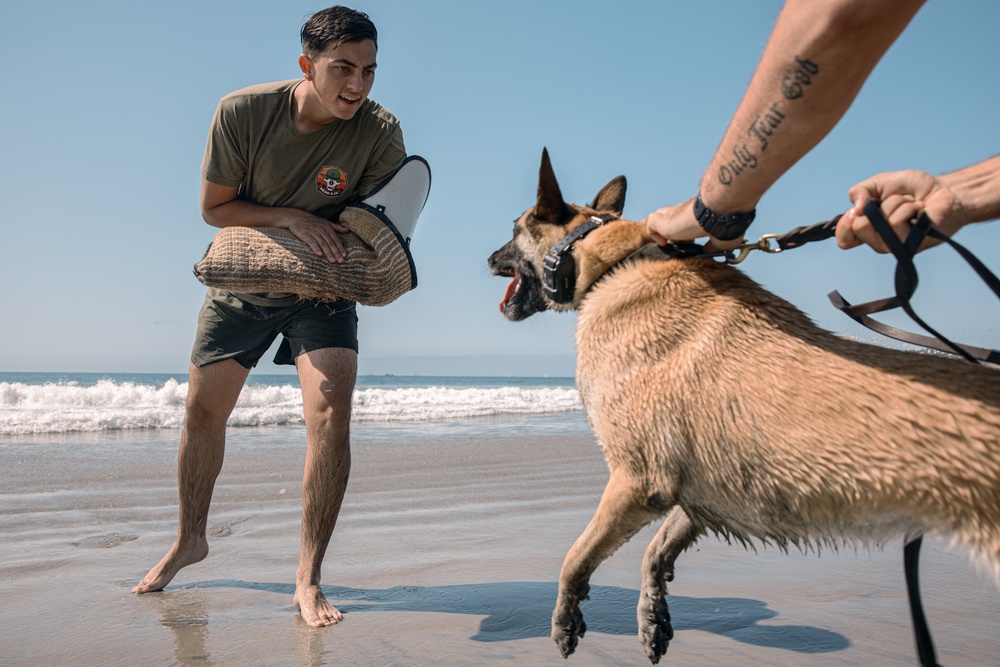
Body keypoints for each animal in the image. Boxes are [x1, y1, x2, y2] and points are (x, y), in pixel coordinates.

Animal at [488, 150, 1000, 664]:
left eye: (513, 229)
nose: (488, 258)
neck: (611, 261)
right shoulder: (702, 488)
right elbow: (658, 548)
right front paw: (652, 616)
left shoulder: (638, 480)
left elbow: (575, 556)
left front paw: (564, 617)